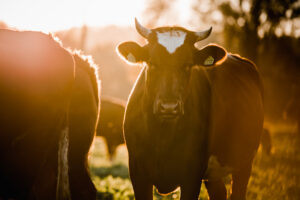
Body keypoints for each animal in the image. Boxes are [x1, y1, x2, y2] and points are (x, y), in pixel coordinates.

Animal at [116, 19, 264, 200]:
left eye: (187, 65)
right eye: (152, 63)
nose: (169, 106)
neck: (162, 134)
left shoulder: (192, 175)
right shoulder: (138, 173)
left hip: (244, 162)